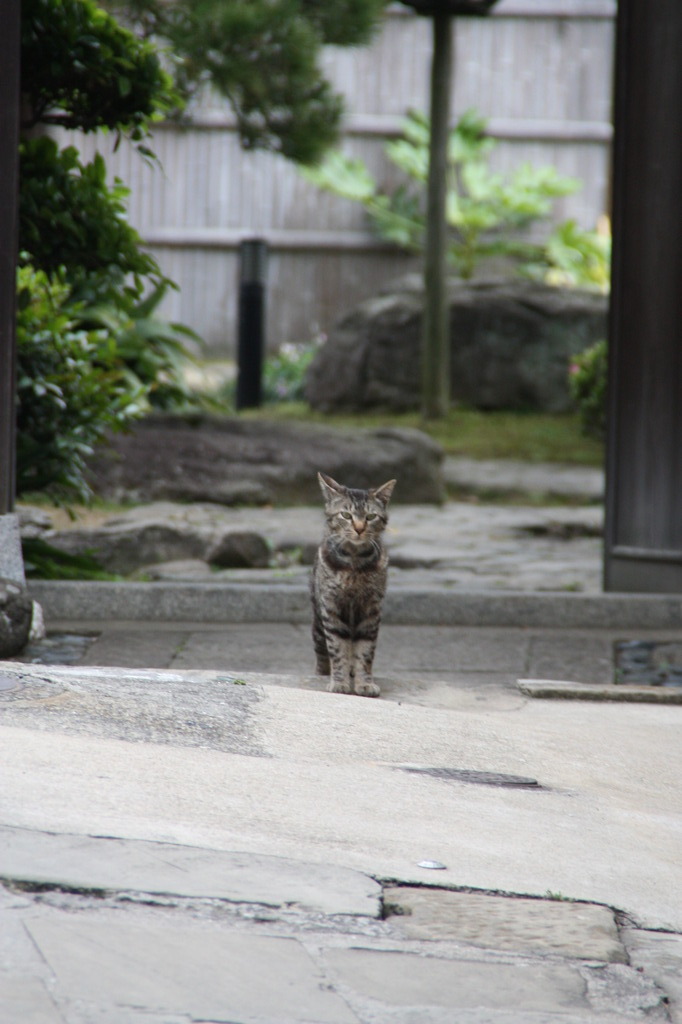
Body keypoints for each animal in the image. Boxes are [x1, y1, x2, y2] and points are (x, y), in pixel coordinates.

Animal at [311, 471, 395, 696]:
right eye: (346, 515)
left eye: (370, 517)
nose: (358, 529)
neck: (354, 564)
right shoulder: (331, 608)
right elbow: (337, 649)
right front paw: (339, 682)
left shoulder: (371, 611)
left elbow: (365, 652)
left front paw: (364, 683)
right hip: (318, 626)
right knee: (322, 655)